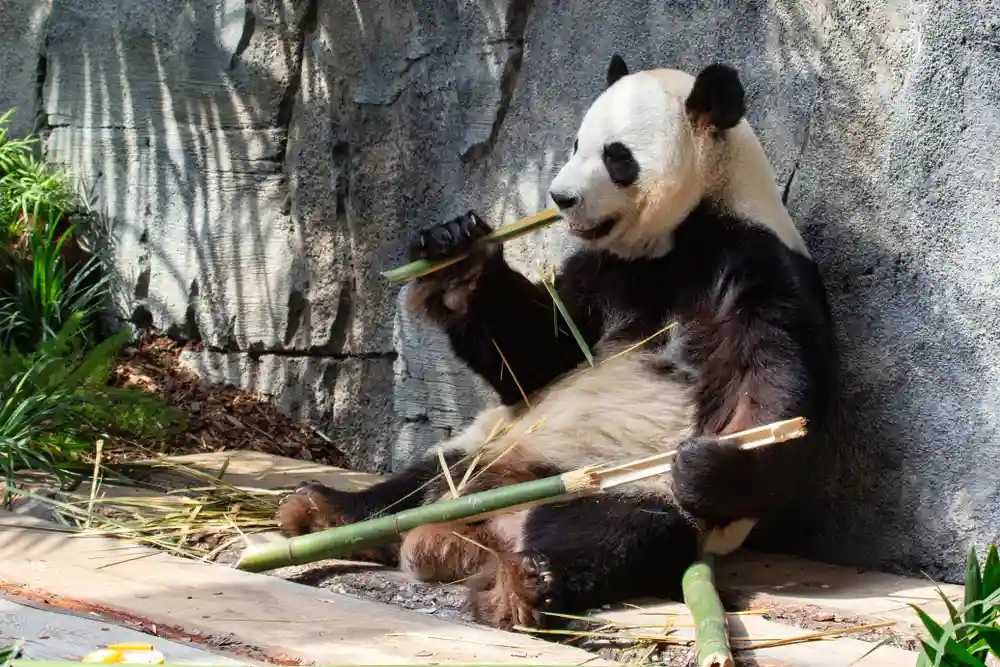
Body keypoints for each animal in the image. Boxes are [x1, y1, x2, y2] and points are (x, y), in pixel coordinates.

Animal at [276, 54, 837, 630]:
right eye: (575, 144)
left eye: (617, 156)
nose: (561, 197)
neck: (681, 234)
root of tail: (485, 525)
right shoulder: (604, 271)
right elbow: (538, 355)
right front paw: (454, 254)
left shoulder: (756, 264)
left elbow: (770, 388)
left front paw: (709, 463)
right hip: (489, 443)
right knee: (422, 478)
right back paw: (326, 511)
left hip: (617, 479)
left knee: (615, 529)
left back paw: (523, 582)